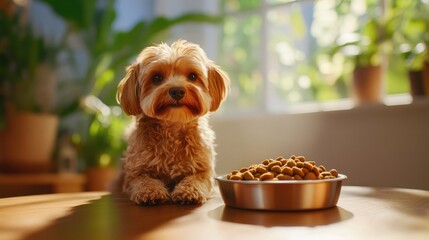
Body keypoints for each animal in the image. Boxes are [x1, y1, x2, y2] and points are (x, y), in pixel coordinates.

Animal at [115, 39, 229, 204]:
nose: (177, 91)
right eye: (157, 78)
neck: (173, 127)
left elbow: (194, 179)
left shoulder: (203, 171)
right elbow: (143, 181)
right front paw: (150, 192)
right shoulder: (135, 172)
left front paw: (189, 191)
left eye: (193, 76)